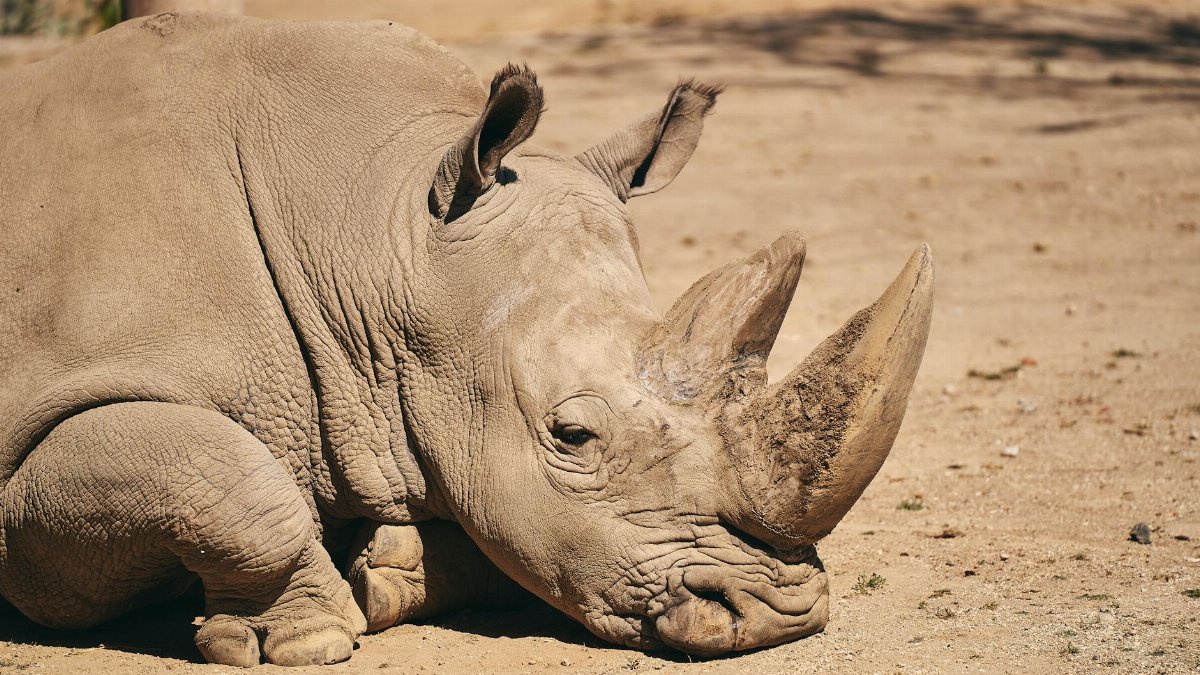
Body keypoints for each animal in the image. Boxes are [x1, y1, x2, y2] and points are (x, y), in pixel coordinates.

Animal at [0, 12, 932, 667]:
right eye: (572, 434)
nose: (778, 615)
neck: (374, 228)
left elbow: (494, 524)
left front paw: (387, 568)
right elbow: (225, 479)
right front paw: (301, 641)